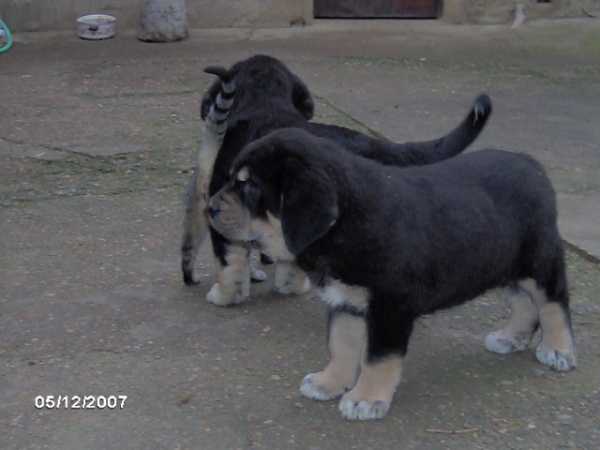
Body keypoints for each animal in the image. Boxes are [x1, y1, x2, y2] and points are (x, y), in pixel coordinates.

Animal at [207, 127, 576, 422]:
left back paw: (558, 349)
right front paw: (329, 382)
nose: (208, 207)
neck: (345, 223)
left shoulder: (391, 307)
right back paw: (511, 337)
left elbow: (377, 358)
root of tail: (532, 165)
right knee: (525, 304)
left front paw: (364, 398)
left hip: (538, 261)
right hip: (501, 264)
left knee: (553, 303)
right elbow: (341, 346)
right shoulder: (346, 301)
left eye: (249, 187)